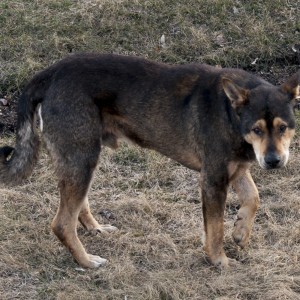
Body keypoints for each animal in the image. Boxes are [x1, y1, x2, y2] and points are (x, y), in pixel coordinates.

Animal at [0, 53, 298, 268]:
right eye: (257, 129)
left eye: (283, 127)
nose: (273, 161)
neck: (230, 113)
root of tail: (49, 73)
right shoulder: (213, 179)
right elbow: (215, 229)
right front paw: (219, 261)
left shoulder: (235, 169)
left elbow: (253, 197)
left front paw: (241, 231)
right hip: (81, 157)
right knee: (62, 223)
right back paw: (86, 261)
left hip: (81, 159)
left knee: (76, 209)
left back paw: (95, 228)